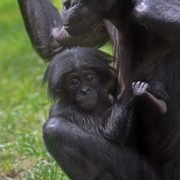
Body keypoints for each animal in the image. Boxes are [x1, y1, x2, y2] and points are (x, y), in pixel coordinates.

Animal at [43, 47, 165, 179]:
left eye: (89, 78)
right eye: (74, 82)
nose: (84, 90)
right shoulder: (66, 109)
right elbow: (110, 132)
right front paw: (133, 90)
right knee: (54, 128)